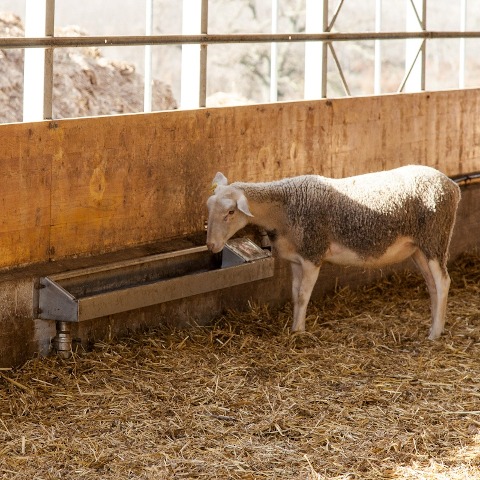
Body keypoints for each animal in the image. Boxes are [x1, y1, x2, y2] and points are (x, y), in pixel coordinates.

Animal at [205, 167, 462, 340]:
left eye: (230, 212)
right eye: (208, 207)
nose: (211, 245)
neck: (283, 209)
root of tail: (452, 185)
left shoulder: (313, 254)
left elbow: (303, 296)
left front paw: (298, 331)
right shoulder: (296, 260)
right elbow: (294, 294)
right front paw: (294, 326)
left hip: (436, 238)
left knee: (443, 281)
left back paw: (435, 333)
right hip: (419, 248)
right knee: (432, 284)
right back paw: (435, 325)